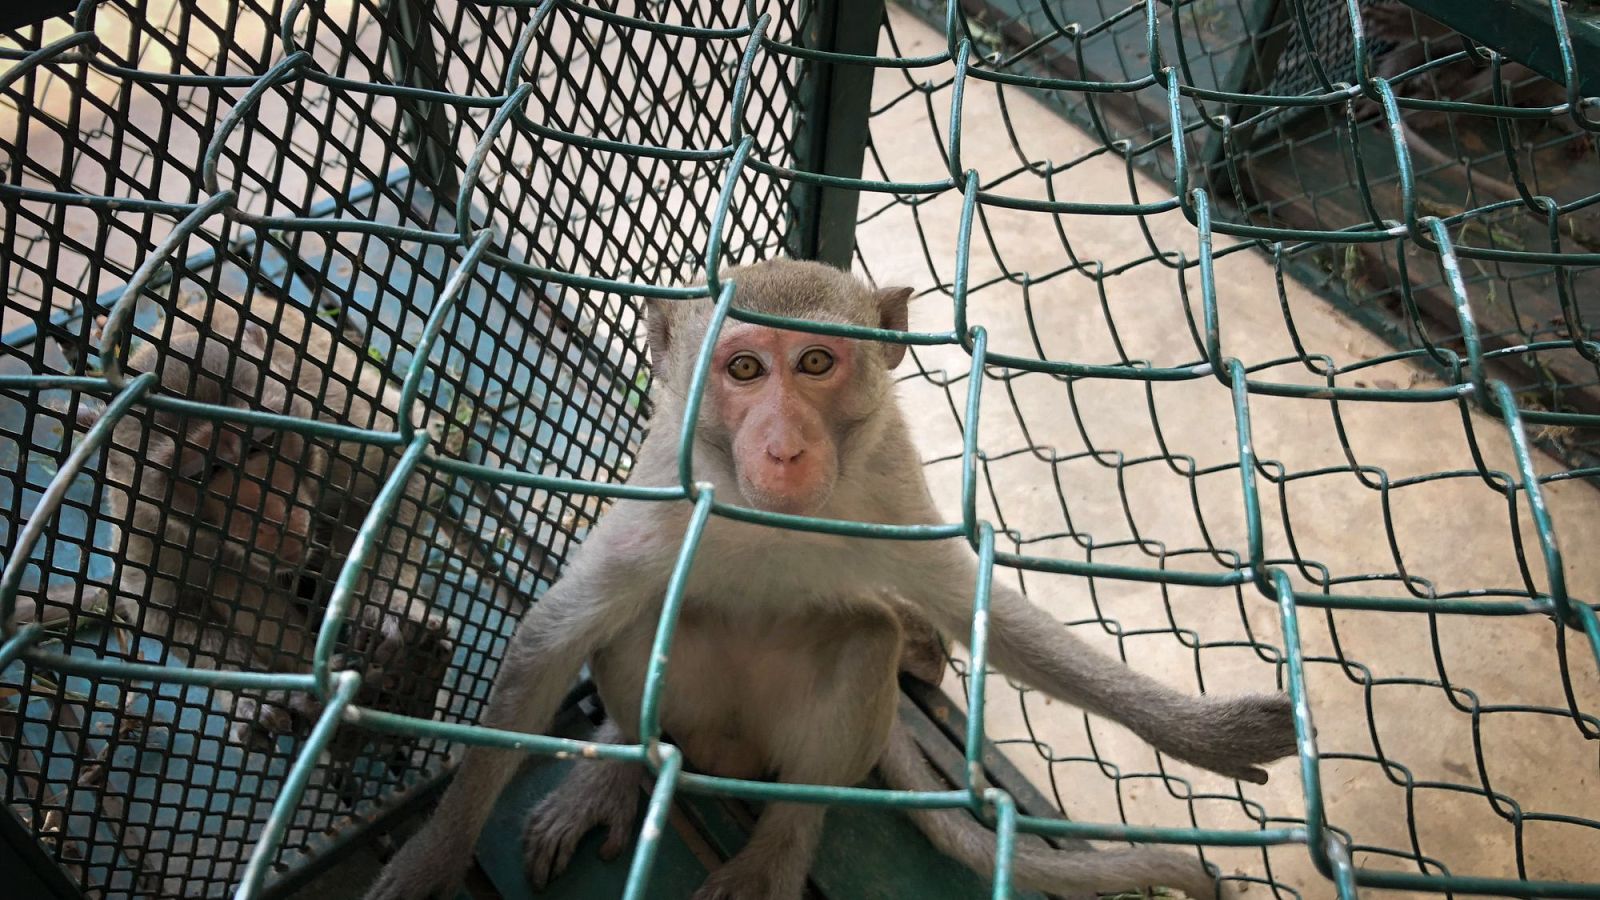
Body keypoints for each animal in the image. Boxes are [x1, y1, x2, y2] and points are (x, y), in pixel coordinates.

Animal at [11, 292, 455, 761]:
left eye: (262, 442)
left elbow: (404, 467)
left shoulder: (334, 421)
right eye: (204, 472)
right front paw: (252, 697)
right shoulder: (147, 519)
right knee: (231, 575)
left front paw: (389, 605)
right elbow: (165, 608)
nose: (272, 515)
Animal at [363, 259, 1297, 900]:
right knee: (642, 622)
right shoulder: (667, 488)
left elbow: (980, 613)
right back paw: (624, 763)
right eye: (744, 370)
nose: (785, 448)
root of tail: (728, 751)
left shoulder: (890, 489)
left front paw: (1202, 735)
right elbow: (557, 633)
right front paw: (432, 857)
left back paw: (780, 847)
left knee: (866, 641)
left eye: (816, 364)